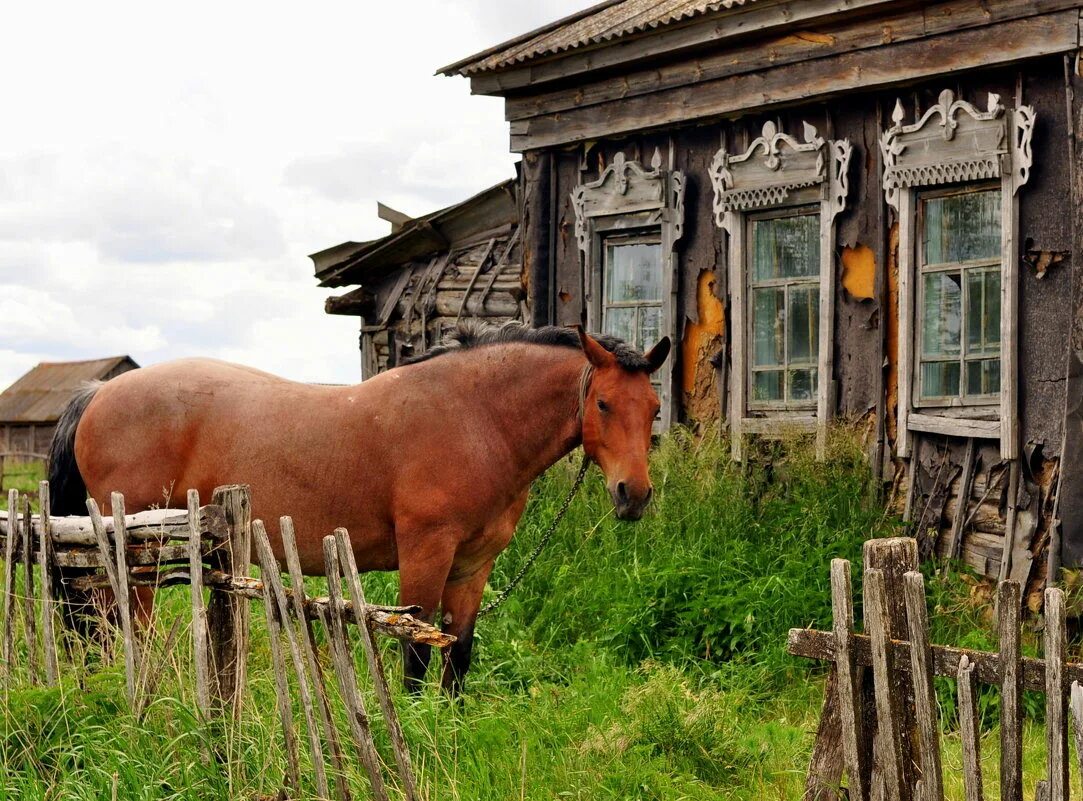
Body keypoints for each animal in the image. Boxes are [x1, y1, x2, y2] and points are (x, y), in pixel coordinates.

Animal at [48, 322, 667, 692]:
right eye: (604, 404)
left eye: (654, 408)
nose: (633, 495)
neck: (474, 419)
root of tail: (99, 394)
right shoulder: (425, 557)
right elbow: (416, 658)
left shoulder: (472, 567)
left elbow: (458, 656)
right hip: (135, 552)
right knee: (120, 622)